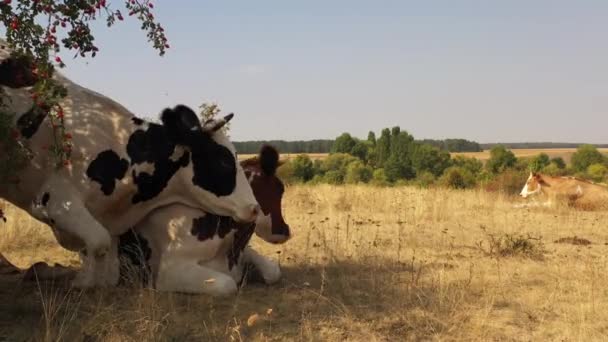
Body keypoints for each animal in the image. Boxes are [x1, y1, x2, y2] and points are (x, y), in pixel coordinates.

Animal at [0, 38, 260, 288]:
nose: (255, 207)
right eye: (224, 161)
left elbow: (105, 258)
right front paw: (83, 283)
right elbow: (99, 241)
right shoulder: (54, 200)